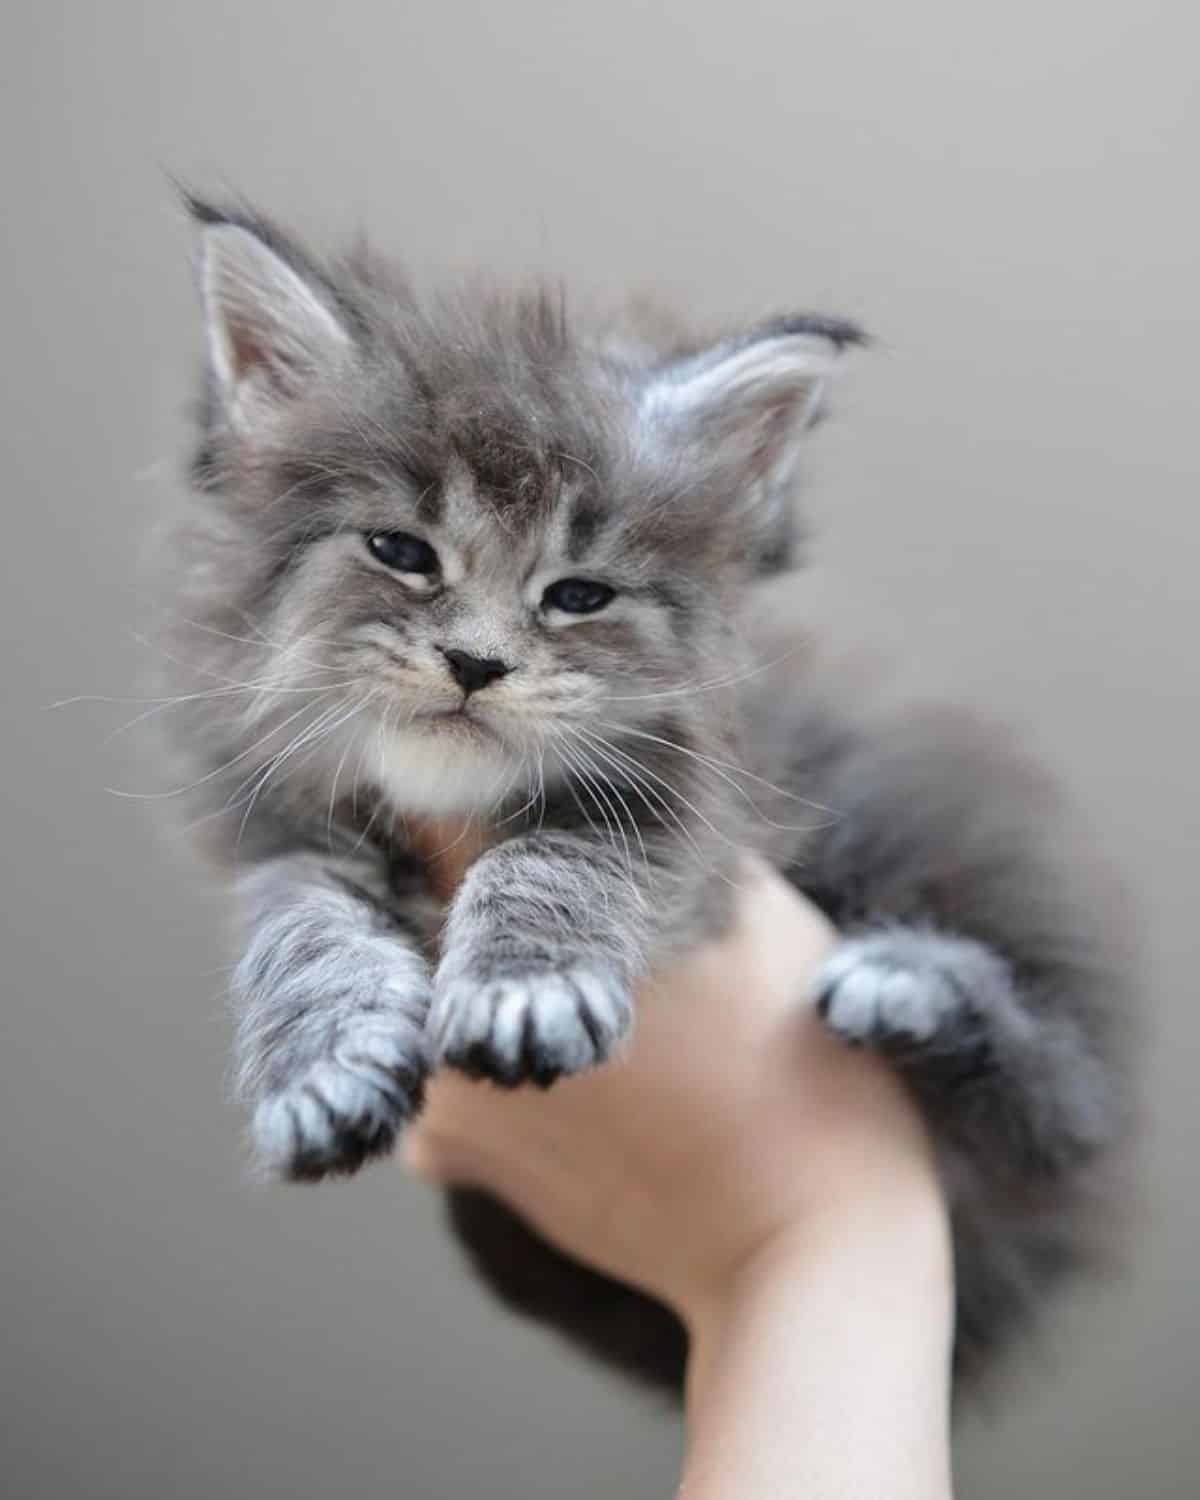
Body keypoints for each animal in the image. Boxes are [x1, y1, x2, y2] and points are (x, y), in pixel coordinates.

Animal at [162, 196, 1134, 1392]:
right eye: (400, 549)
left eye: (579, 595)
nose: (475, 662)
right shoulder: (281, 817)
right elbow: (295, 917)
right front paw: (324, 1063)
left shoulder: (703, 812)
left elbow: (556, 856)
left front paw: (524, 989)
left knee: (1071, 1113)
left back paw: (915, 984)